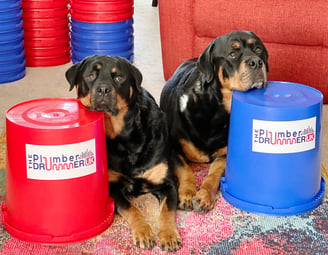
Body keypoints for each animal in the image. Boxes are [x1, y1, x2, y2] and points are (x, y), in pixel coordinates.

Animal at [65, 55, 181, 251]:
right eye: (90, 76)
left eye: (119, 78)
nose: (103, 89)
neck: (125, 139)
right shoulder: (113, 188)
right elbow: (131, 208)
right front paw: (143, 231)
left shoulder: (167, 184)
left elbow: (167, 211)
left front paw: (169, 235)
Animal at [160, 29, 270, 213]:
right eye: (232, 54)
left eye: (258, 50)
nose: (256, 62)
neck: (215, 110)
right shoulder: (173, 149)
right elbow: (186, 170)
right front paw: (186, 194)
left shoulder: (225, 154)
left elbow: (214, 173)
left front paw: (204, 196)